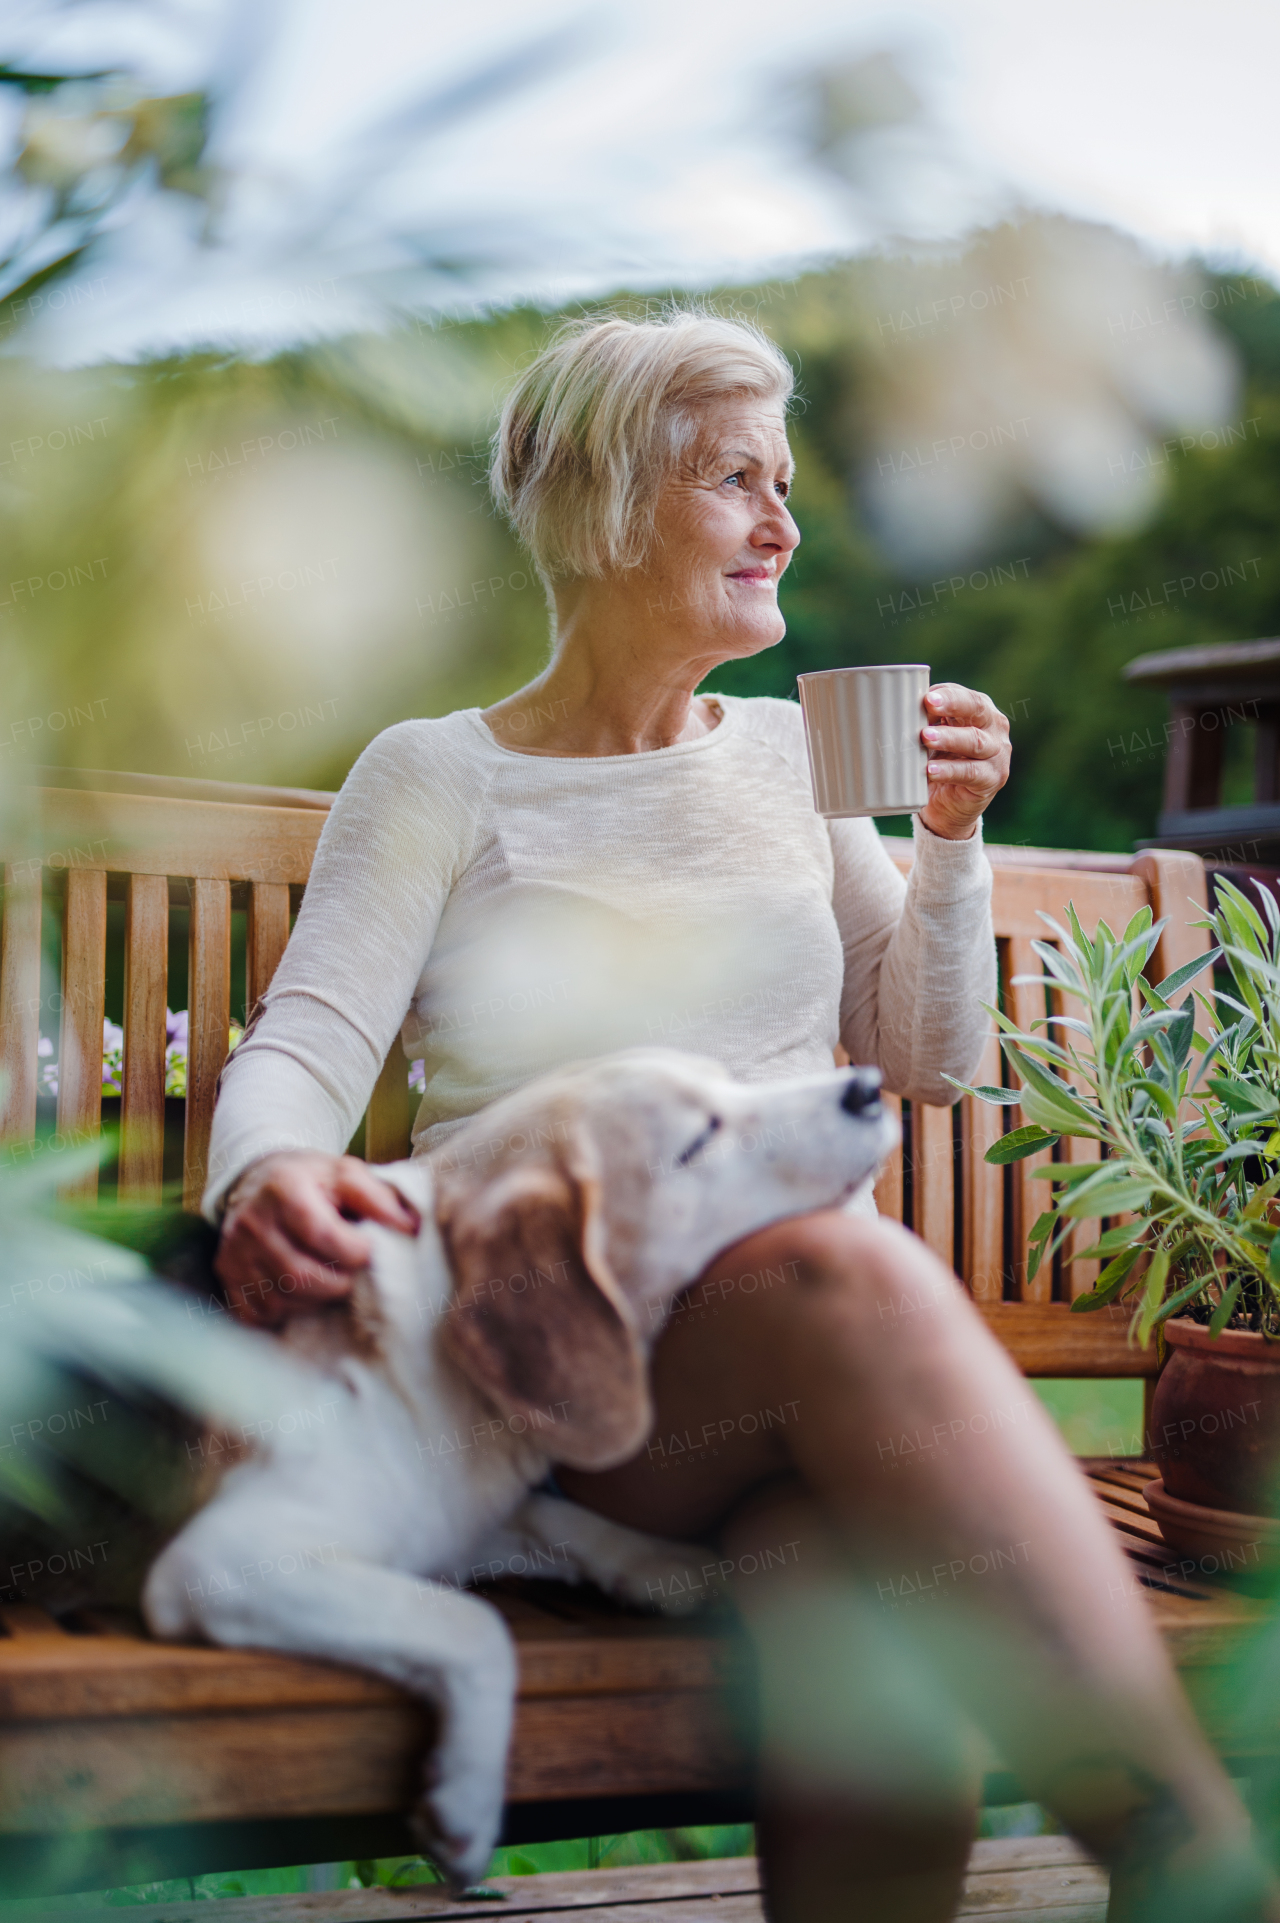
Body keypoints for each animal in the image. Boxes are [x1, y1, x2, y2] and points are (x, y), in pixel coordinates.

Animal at [144, 1046, 891, 1884]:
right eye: (699, 1139)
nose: (869, 1086)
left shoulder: (450, 1518)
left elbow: (557, 1517)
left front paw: (666, 1562)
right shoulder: (227, 1560)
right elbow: (476, 1625)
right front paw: (465, 1800)